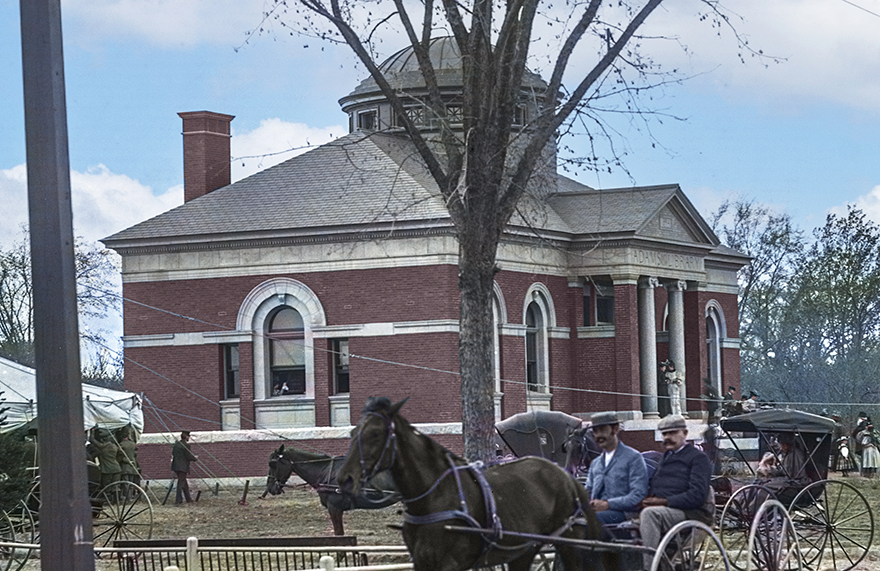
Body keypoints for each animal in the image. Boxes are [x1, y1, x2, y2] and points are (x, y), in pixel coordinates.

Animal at [336, 398, 620, 571]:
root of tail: (566, 478)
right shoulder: (422, 561)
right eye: (352, 432)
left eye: (375, 433)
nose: (344, 478)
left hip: (571, 544)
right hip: (523, 549)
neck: (433, 498)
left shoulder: (451, 563)